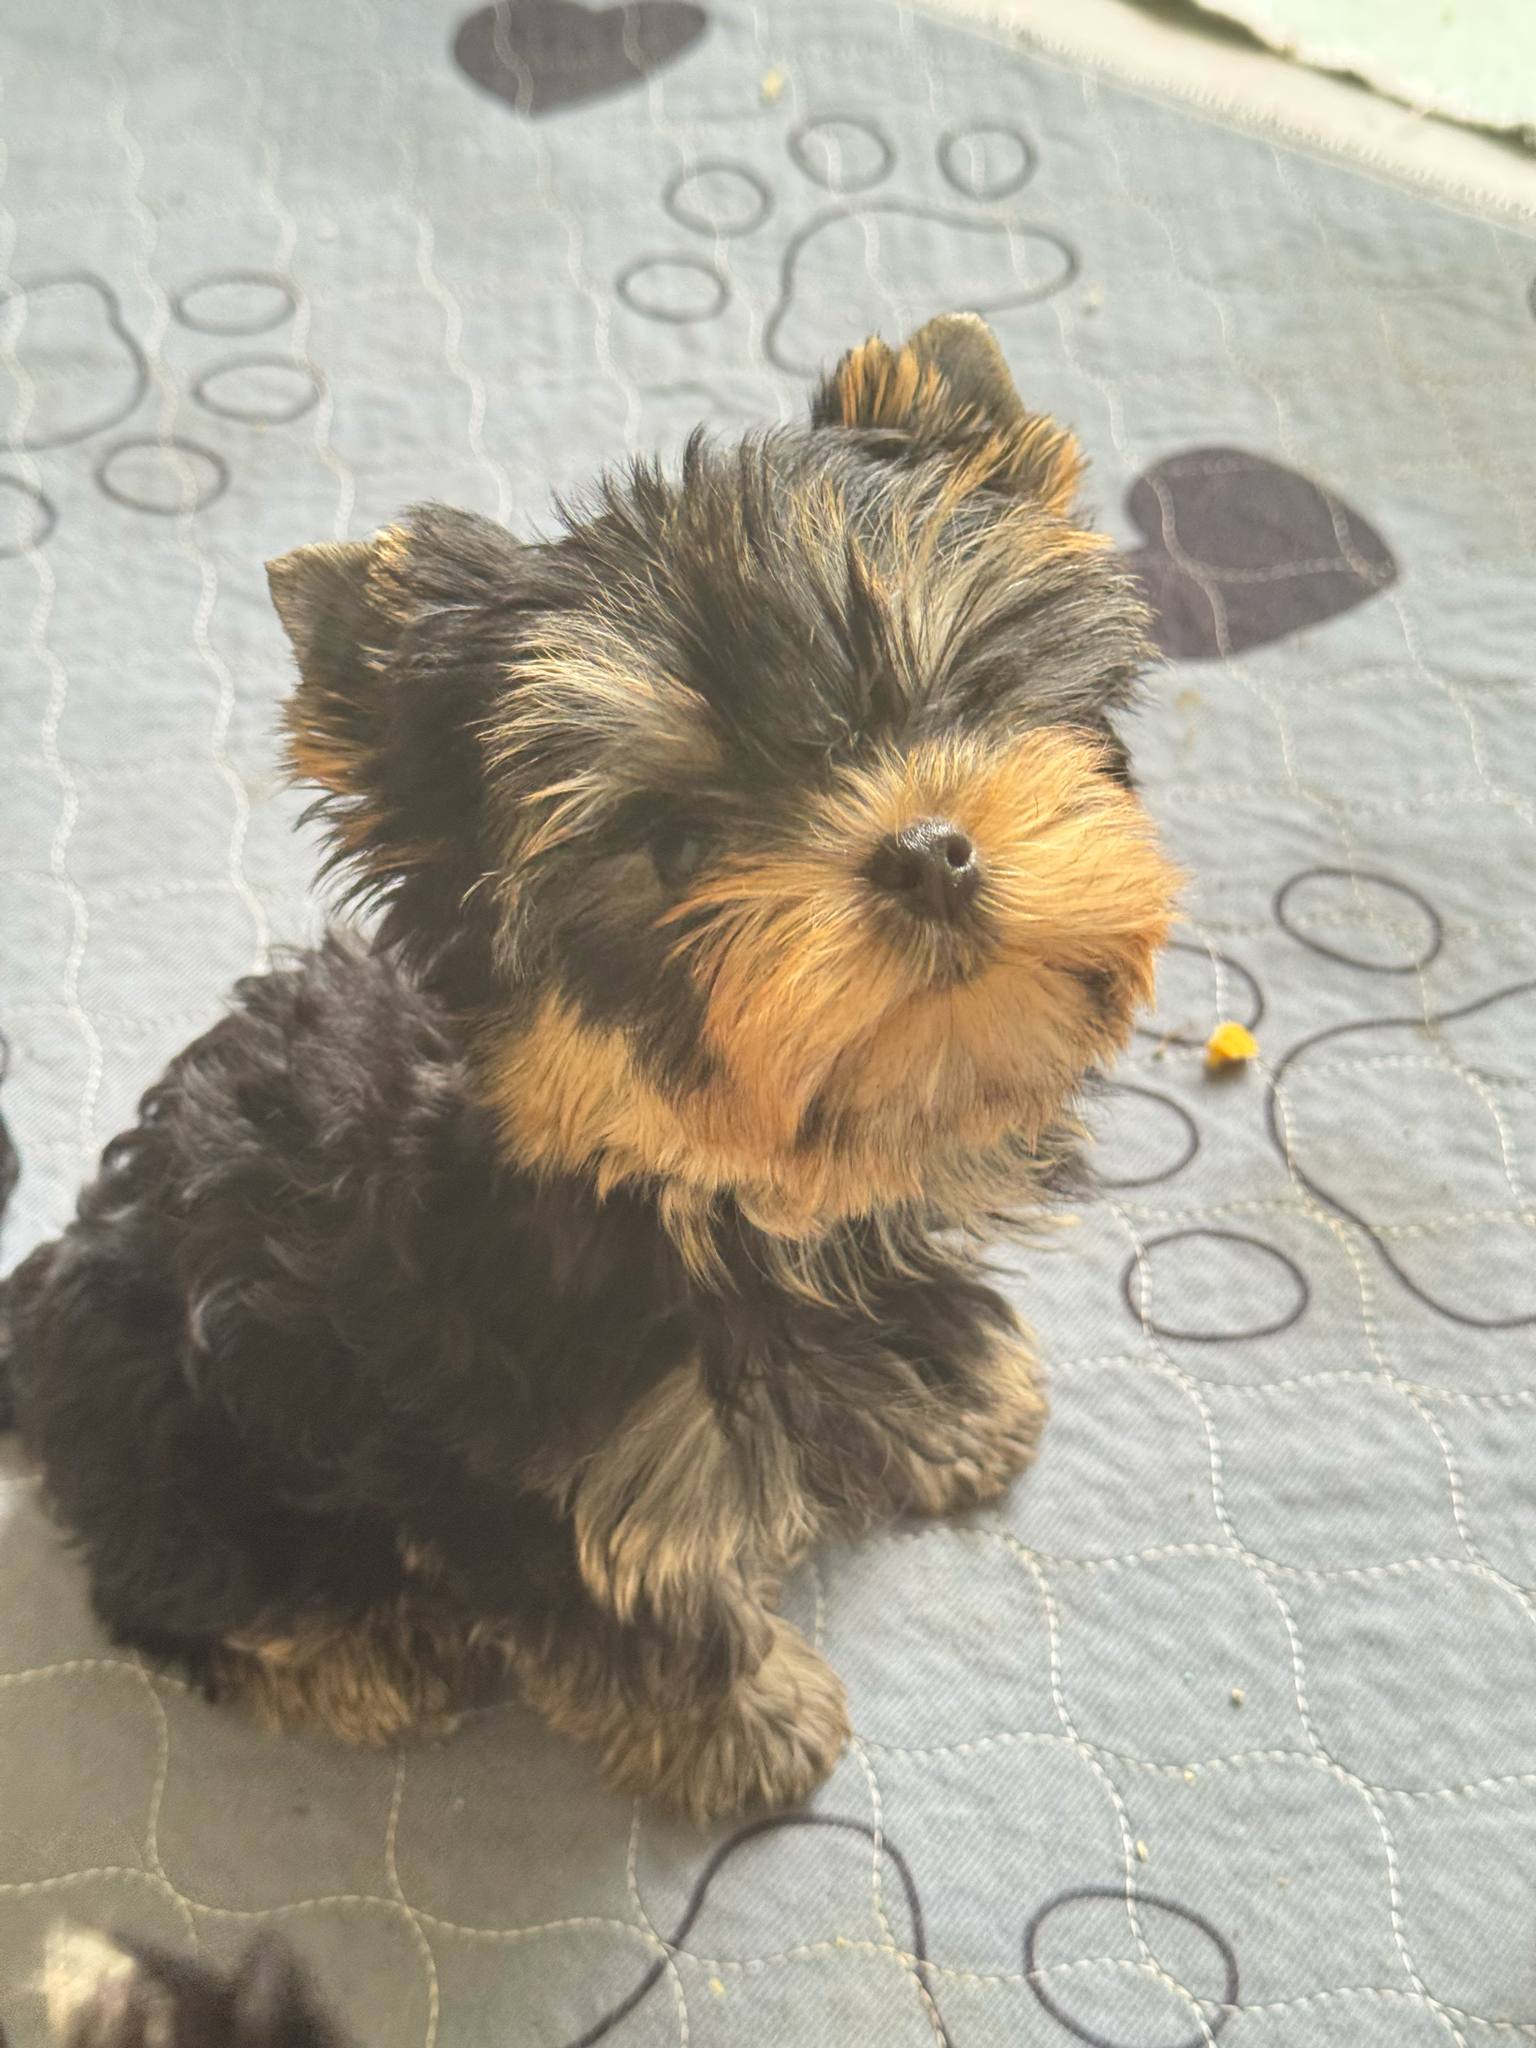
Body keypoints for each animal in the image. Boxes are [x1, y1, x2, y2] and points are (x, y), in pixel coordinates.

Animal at [0, 314, 1177, 1820]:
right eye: (676, 849)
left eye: (957, 697)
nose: (926, 850)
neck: (682, 1187)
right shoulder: (531, 1468)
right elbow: (634, 1603)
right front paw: (745, 1730)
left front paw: (950, 1396)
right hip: (182, 1442)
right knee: (189, 1586)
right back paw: (359, 1656)